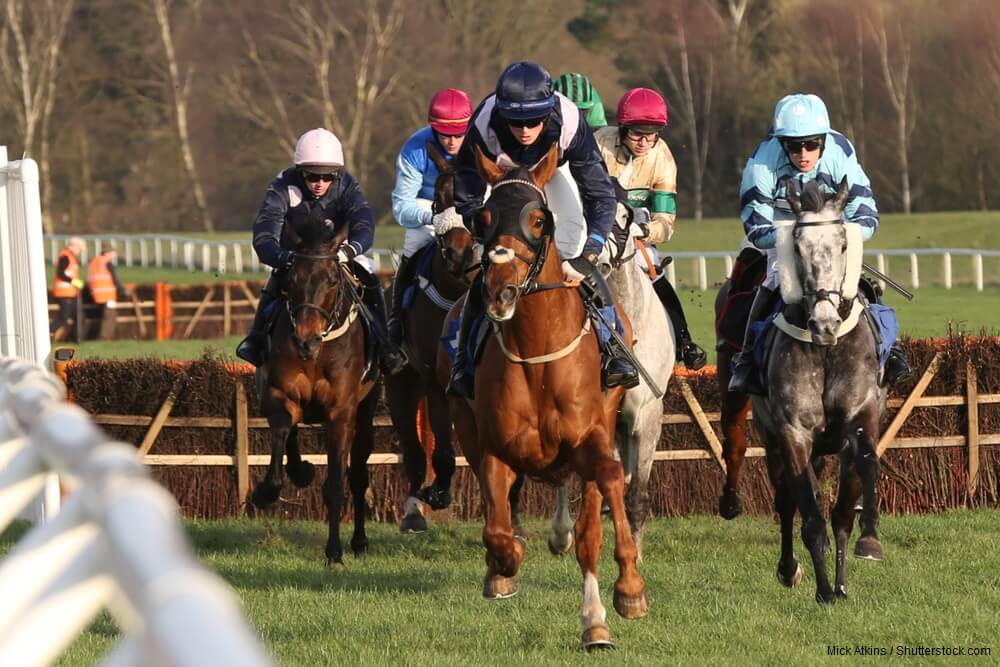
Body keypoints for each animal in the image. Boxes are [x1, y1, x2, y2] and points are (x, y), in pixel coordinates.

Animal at [250, 219, 379, 566]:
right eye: (292, 278)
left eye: (332, 279)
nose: (305, 340)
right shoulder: (278, 393)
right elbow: (283, 431)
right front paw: (268, 490)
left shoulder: (341, 413)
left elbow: (336, 484)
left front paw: (334, 552)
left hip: (366, 411)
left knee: (358, 473)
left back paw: (360, 541)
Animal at [439, 145, 648, 650]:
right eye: (484, 217)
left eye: (538, 220)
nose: (500, 292)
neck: (537, 354)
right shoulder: (494, 448)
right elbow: (496, 529)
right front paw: (503, 566)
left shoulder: (593, 438)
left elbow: (604, 497)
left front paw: (626, 592)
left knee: (589, 519)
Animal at [545, 212, 675, 561]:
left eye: (623, 221)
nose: (598, 262)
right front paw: (564, 534)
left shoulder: (647, 416)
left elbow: (637, 493)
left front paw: (636, 552)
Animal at [751, 179, 884, 603]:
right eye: (797, 246)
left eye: (842, 243)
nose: (824, 323)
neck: (826, 350)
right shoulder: (793, 432)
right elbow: (808, 516)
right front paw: (824, 588)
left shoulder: (861, 417)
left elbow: (852, 495)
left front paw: (865, 547)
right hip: (771, 437)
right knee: (785, 501)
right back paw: (789, 569)